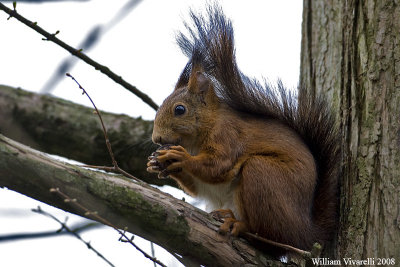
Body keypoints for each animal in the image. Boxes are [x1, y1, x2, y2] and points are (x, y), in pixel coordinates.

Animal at [145, 4, 340, 253]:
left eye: (180, 109)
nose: (157, 139)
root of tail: (305, 234)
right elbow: (197, 187)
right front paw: (158, 163)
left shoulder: (228, 135)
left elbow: (219, 165)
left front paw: (180, 157)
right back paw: (226, 215)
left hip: (263, 176)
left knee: (270, 238)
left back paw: (239, 225)